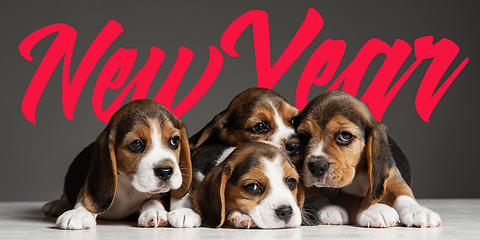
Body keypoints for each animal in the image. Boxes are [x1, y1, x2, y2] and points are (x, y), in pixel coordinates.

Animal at [40, 100, 192, 231]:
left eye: (174, 140)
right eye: (136, 144)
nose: (165, 171)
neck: (129, 185)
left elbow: (154, 199)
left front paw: (154, 210)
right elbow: (85, 198)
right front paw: (79, 213)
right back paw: (57, 204)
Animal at [298, 91, 440, 228]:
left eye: (345, 135)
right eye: (304, 136)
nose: (316, 166)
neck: (359, 171)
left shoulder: (392, 178)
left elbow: (403, 193)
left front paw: (416, 210)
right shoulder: (336, 191)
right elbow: (355, 199)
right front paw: (376, 209)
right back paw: (329, 210)